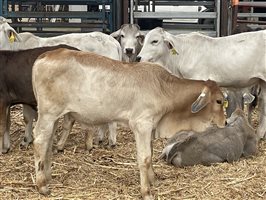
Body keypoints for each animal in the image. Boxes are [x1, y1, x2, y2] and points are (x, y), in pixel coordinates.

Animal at [31, 47, 227, 199]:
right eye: (219, 101)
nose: (225, 122)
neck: (164, 87)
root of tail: (45, 55)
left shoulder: (151, 127)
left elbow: (150, 154)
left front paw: (153, 179)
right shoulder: (142, 125)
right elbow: (144, 158)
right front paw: (146, 192)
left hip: (53, 118)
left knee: (48, 144)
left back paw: (47, 177)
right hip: (48, 114)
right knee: (39, 141)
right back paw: (42, 186)